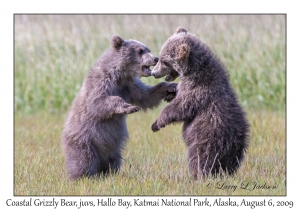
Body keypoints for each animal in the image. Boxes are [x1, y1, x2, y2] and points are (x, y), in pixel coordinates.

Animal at [61, 35, 177, 180]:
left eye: (147, 49)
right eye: (140, 51)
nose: (155, 58)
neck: (120, 74)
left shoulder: (129, 85)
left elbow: (146, 96)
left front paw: (170, 87)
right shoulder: (101, 82)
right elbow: (97, 101)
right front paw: (129, 107)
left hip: (112, 147)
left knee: (113, 160)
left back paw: (108, 173)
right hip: (84, 140)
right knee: (83, 159)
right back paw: (81, 177)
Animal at [151, 27, 250, 179]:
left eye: (164, 61)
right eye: (160, 57)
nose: (153, 72)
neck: (193, 71)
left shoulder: (198, 91)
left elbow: (180, 108)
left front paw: (157, 123)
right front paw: (170, 92)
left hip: (207, 138)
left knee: (200, 158)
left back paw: (198, 175)